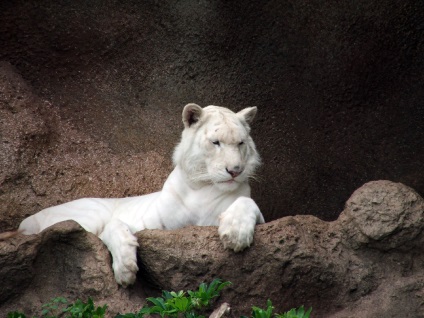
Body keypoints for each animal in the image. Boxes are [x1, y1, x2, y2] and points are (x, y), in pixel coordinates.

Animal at [14, 103, 264, 286]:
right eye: (216, 142)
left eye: (241, 143)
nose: (235, 170)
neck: (203, 187)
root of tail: (26, 221)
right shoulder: (149, 224)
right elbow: (113, 227)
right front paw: (125, 270)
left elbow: (246, 202)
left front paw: (236, 234)